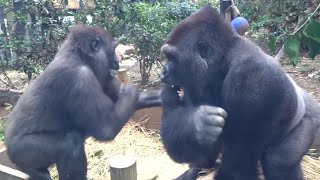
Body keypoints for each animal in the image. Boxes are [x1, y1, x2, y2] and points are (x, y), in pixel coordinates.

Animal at [3, 24, 160, 180]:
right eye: (114, 48)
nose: (118, 61)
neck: (80, 57)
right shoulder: (81, 77)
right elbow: (106, 128)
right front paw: (130, 90)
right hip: (21, 152)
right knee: (69, 143)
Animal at [159, 5, 320, 180]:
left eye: (171, 57)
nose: (163, 72)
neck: (223, 61)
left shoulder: (253, 81)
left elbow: (238, 163)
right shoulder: (192, 83)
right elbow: (201, 152)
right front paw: (196, 124)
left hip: (311, 123)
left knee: (278, 161)